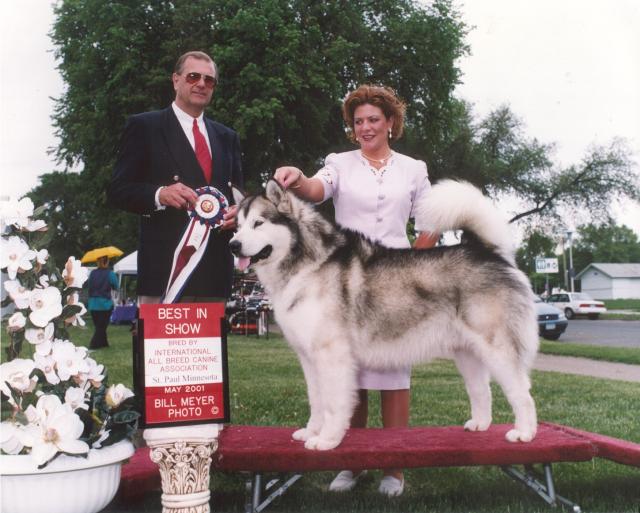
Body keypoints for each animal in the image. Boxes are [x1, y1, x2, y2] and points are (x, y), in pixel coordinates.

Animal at [228, 179, 536, 448]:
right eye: (238, 226)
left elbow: (332, 404)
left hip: (496, 348)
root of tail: (489, 253)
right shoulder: (308, 357)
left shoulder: (331, 354)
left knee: (522, 392)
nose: (233, 245)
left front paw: (327, 440)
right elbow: (316, 400)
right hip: (467, 353)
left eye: (258, 223)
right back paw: (480, 424)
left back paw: (525, 433)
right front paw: (311, 431)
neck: (306, 262)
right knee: (481, 390)